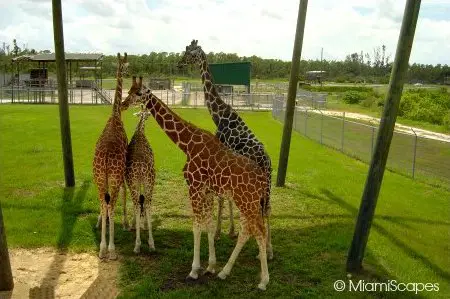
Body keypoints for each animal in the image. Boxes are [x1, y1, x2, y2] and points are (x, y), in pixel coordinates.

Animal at [125, 77, 268, 290]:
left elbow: (196, 226)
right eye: (129, 91)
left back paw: (263, 281)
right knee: (247, 230)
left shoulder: (193, 186)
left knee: (258, 231)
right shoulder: (206, 190)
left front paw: (194, 270)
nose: (123, 104)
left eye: (138, 93)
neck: (187, 144)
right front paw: (210, 266)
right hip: (246, 202)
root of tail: (263, 180)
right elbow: (207, 224)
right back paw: (225, 272)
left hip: (247, 201)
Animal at [179, 39, 274, 260]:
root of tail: (267, 163)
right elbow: (227, 198)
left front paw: (218, 233)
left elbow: (222, 198)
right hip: (267, 185)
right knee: (267, 209)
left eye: (189, 52)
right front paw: (230, 230)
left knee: (261, 209)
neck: (219, 115)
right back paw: (268, 251)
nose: (179, 64)